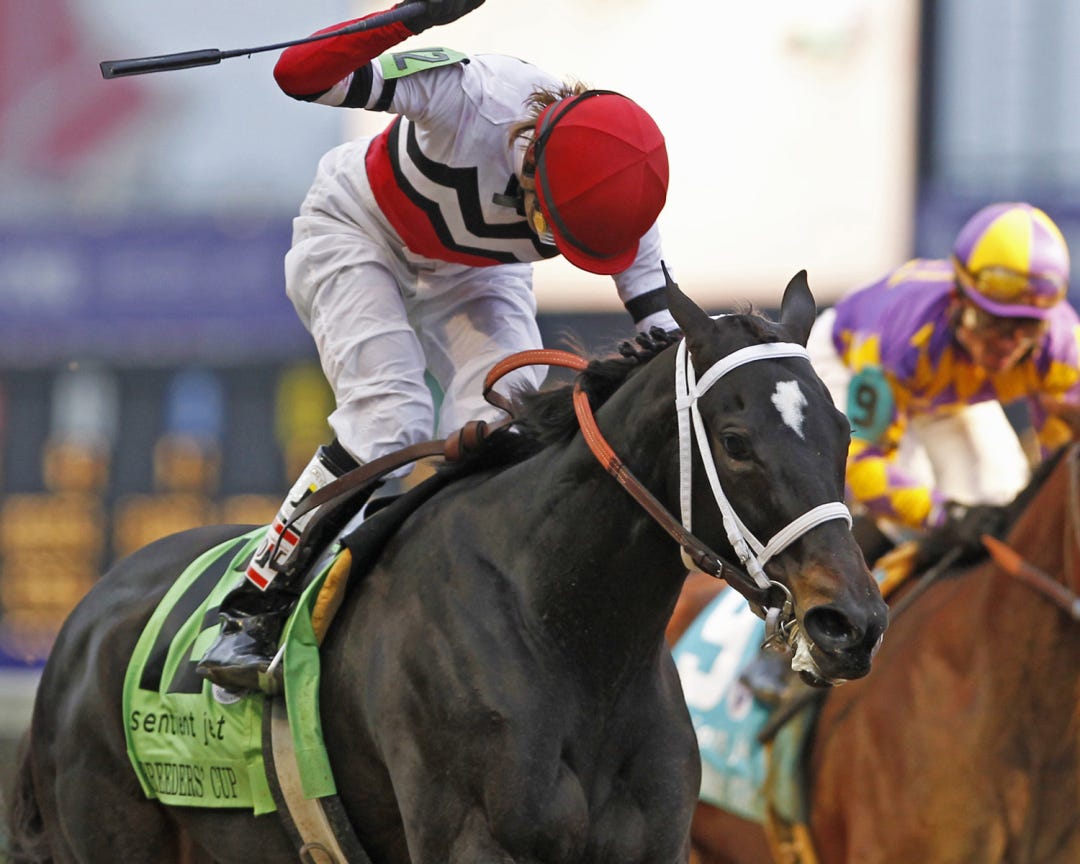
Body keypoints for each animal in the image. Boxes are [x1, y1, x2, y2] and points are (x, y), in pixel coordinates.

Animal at [8, 271, 888, 864]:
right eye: (736, 443)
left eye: (844, 429)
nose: (851, 623)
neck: (564, 632)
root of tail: (86, 619)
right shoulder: (469, 838)